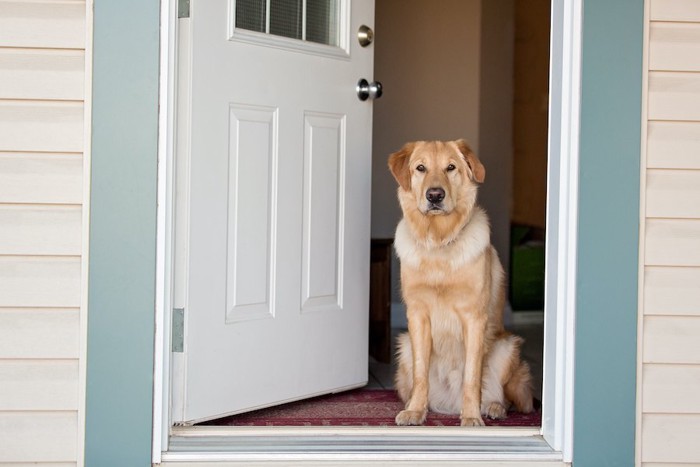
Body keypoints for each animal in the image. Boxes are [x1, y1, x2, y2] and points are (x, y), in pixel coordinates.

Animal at [388, 140, 532, 428]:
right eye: (420, 168)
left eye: (451, 167)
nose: (435, 195)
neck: (439, 242)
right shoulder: (417, 316)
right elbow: (421, 373)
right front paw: (415, 411)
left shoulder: (473, 318)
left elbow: (472, 376)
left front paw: (472, 416)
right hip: (404, 347)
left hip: (506, 348)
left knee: (504, 396)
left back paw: (493, 407)